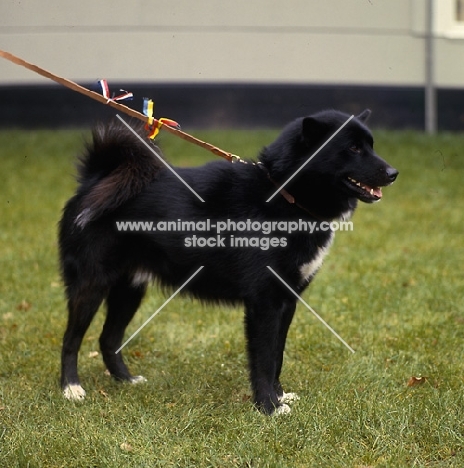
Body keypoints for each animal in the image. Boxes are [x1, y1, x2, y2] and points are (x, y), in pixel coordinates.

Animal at [59, 109, 396, 414]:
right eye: (353, 148)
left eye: (370, 145)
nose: (394, 173)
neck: (283, 194)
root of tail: (95, 179)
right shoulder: (264, 304)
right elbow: (264, 359)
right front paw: (268, 407)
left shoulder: (287, 302)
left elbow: (277, 356)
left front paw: (279, 397)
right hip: (92, 285)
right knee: (71, 339)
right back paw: (71, 388)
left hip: (130, 290)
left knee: (108, 338)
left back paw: (125, 380)